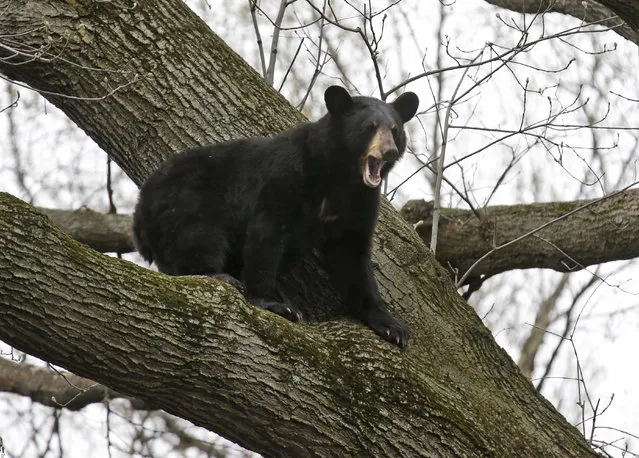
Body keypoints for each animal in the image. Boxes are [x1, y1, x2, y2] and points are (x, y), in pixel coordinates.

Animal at [132, 86, 418, 348]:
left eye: (395, 130)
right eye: (369, 127)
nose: (390, 151)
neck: (340, 177)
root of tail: (141, 206)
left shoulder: (360, 203)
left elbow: (352, 256)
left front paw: (392, 327)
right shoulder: (287, 175)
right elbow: (267, 232)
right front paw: (274, 304)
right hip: (187, 200)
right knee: (198, 237)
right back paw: (218, 275)